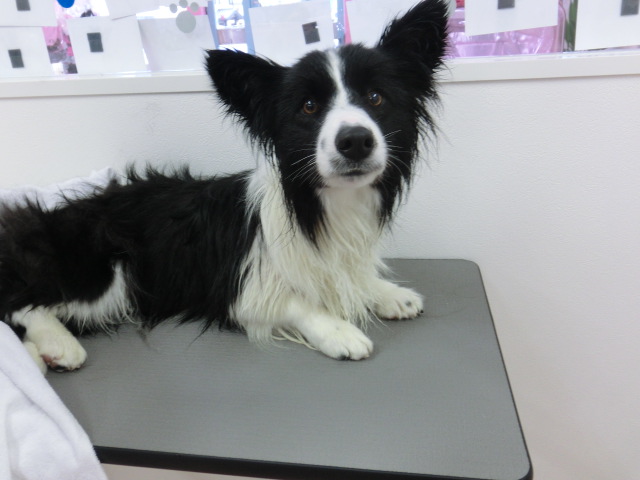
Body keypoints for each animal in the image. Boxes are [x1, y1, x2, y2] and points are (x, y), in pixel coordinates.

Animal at [0, 0, 448, 372]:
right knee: (20, 301)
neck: (323, 204)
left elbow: (353, 279)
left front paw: (386, 292)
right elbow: (298, 303)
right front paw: (339, 330)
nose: (355, 140)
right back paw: (57, 346)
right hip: (106, 273)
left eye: (375, 98)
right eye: (308, 107)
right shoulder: (239, 288)